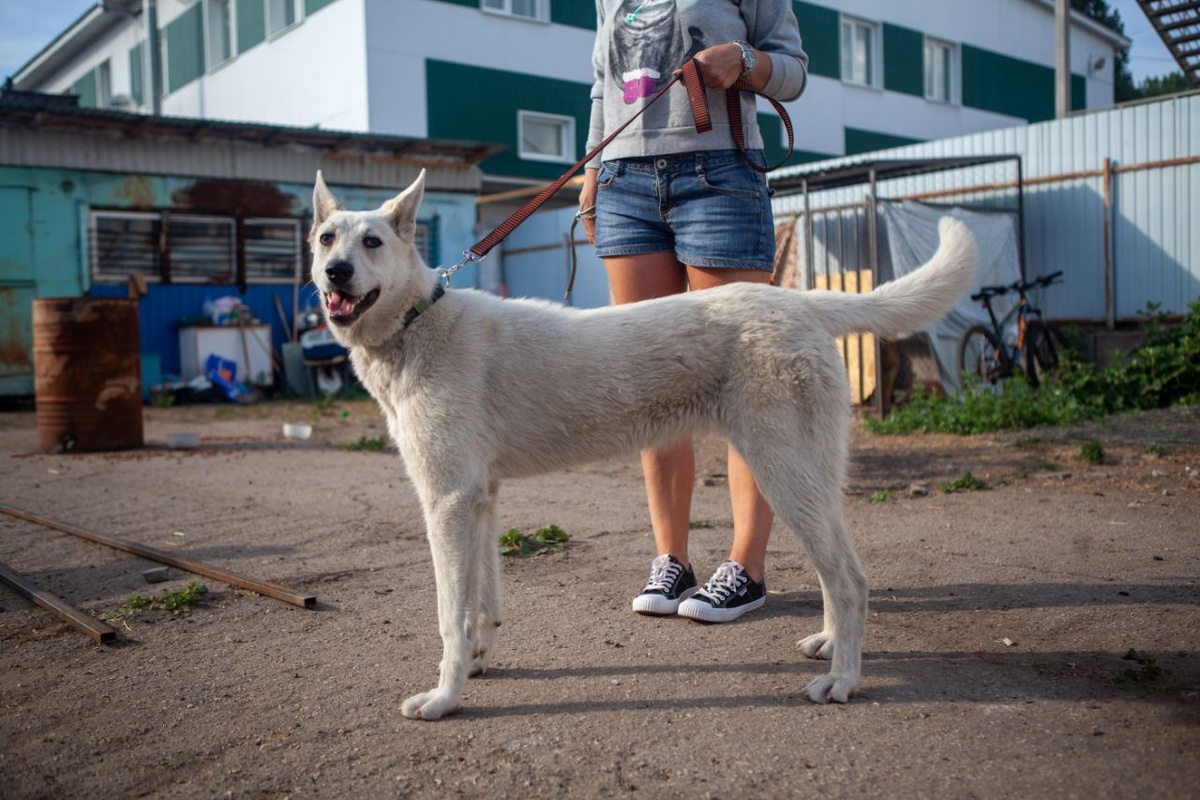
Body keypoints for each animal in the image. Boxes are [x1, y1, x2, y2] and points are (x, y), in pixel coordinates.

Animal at [307, 170, 974, 719]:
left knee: (849, 580)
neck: (418, 323)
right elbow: (481, 604)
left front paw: (445, 698)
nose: (336, 272)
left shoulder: (446, 502)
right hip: (810, 479)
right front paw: (476, 662)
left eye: (372, 243)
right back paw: (831, 645)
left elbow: (450, 616)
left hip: (782, 476)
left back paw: (844, 681)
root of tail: (796, 299)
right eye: (326, 239)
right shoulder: (481, 499)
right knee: (840, 574)